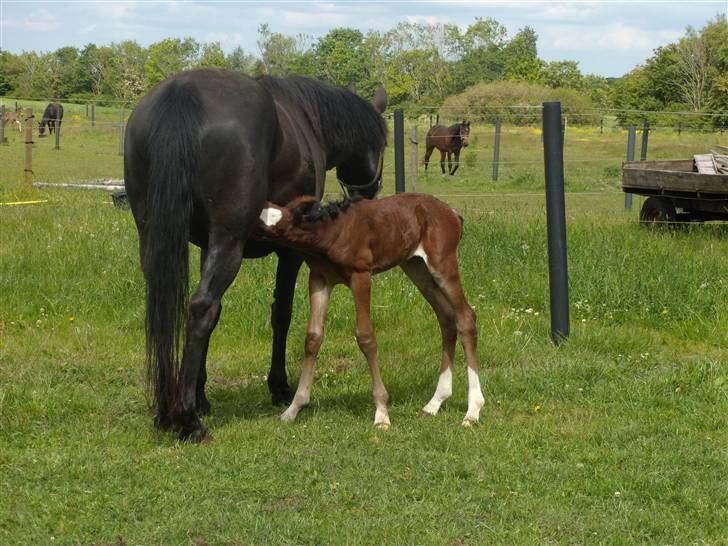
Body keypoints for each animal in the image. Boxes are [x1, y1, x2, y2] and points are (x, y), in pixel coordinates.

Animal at [125, 69, 386, 442]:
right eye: (384, 143)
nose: (371, 193)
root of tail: (183, 93)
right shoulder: (290, 252)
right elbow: (281, 315)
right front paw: (280, 388)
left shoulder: (206, 247)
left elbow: (216, 316)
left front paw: (201, 395)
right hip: (229, 242)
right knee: (202, 307)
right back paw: (187, 420)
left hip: (154, 237)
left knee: (172, 307)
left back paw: (166, 409)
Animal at [256, 193, 484, 428]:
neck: (333, 230)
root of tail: (453, 213)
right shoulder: (320, 278)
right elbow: (313, 337)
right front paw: (293, 408)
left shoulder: (361, 276)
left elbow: (366, 337)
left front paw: (382, 413)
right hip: (417, 267)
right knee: (446, 318)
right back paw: (435, 403)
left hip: (442, 264)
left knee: (466, 317)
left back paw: (472, 411)